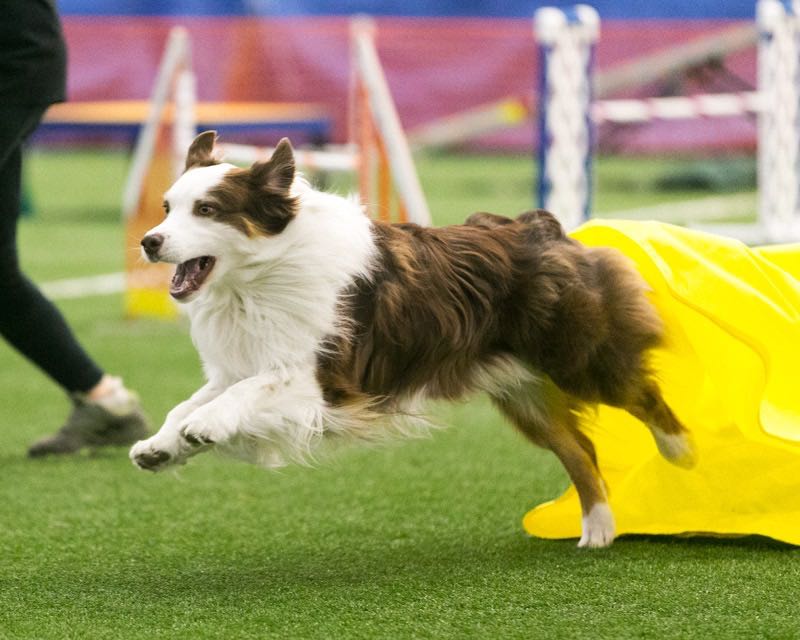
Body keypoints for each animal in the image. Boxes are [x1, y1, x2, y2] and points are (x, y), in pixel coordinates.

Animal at [131, 132, 692, 548]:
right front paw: (161, 446)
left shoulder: (328, 381)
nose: (148, 241)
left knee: (641, 393)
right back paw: (598, 528)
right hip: (522, 391)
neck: (258, 278)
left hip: (576, 355)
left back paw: (681, 453)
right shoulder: (243, 361)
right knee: (580, 449)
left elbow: (249, 392)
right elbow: (187, 403)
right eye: (166, 207)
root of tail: (542, 227)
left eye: (207, 209)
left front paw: (206, 426)